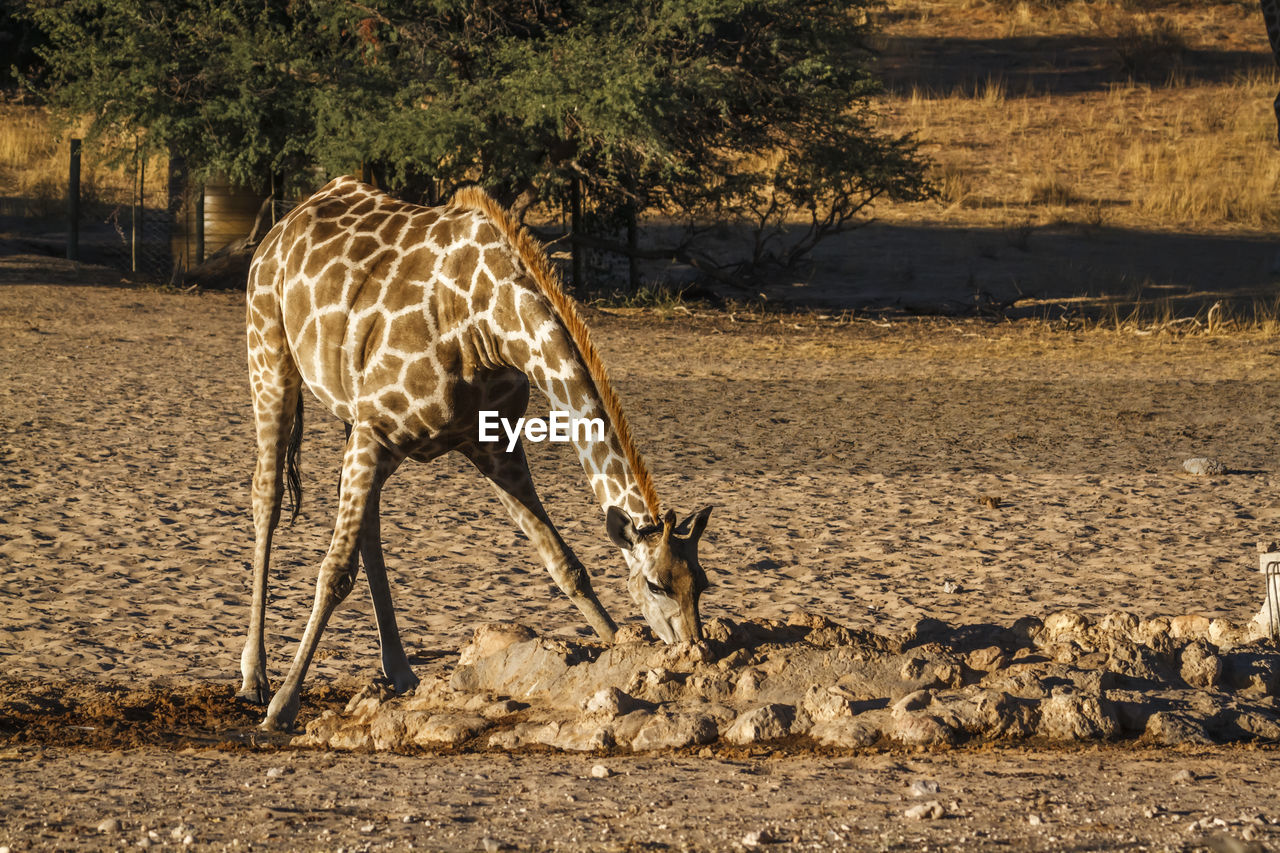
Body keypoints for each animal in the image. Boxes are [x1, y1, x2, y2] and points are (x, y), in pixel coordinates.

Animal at [240, 175, 716, 727]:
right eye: (658, 584)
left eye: (701, 582)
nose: (694, 649)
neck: (489, 324)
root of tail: (284, 224)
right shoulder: (377, 431)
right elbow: (334, 572)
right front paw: (283, 705)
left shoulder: (493, 446)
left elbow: (565, 563)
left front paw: (618, 648)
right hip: (271, 358)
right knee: (267, 497)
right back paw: (254, 677)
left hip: (349, 411)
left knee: (367, 526)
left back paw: (400, 671)